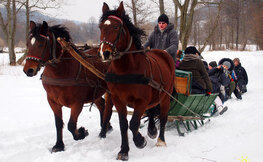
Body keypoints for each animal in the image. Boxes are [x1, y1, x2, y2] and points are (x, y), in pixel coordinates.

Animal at [23, 20, 113, 153]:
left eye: (41, 44)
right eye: (28, 44)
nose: (28, 70)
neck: (61, 72)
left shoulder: (77, 103)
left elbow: (71, 125)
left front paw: (82, 132)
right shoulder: (52, 101)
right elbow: (59, 123)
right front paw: (59, 145)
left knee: (108, 108)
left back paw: (104, 130)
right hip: (95, 92)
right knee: (102, 106)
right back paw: (105, 128)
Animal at [98, 2, 176, 161]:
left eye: (116, 27)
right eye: (101, 27)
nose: (105, 53)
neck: (125, 70)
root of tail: (163, 53)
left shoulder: (141, 100)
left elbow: (133, 123)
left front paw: (140, 141)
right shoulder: (118, 99)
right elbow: (123, 124)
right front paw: (124, 151)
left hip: (165, 96)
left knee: (163, 117)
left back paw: (161, 140)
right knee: (152, 111)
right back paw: (152, 129)